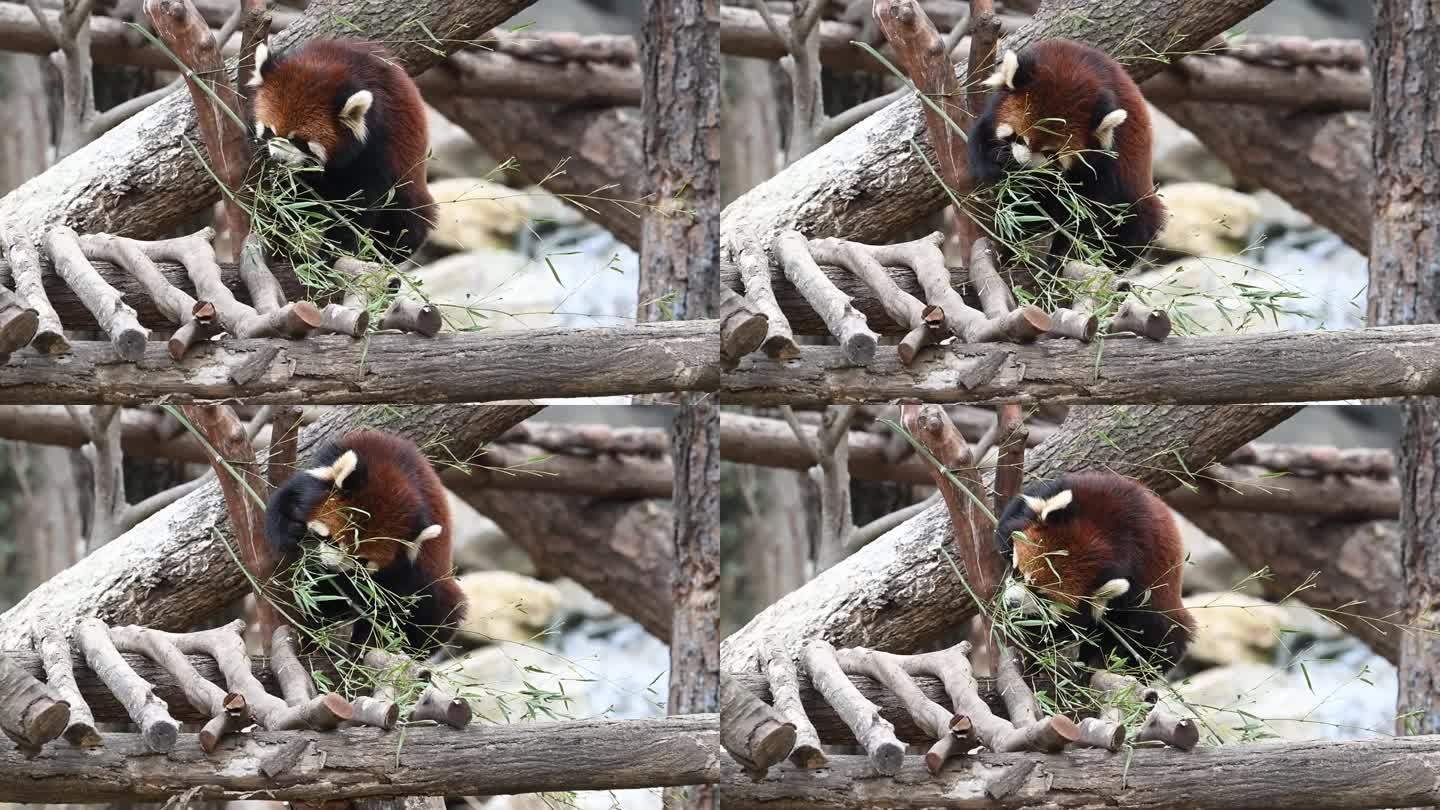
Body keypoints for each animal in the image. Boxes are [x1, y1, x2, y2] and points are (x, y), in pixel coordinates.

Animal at [250, 38, 434, 265]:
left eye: (299, 141)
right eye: (270, 131)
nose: (278, 158)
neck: (329, 64)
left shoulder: (377, 147)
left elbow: (357, 205)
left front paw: (336, 251)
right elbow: (287, 195)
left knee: (406, 218)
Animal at [269, 429, 466, 648]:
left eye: (361, 560)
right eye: (330, 539)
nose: (332, 566)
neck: (393, 472)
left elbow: (384, 605)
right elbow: (285, 499)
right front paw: (287, 531)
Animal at [961, 39, 1163, 268]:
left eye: (1050, 152)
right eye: (1019, 137)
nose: (1023, 164)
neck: (1076, 67)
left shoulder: (1104, 165)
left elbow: (1086, 214)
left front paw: (1063, 254)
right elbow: (980, 139)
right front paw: (994, 166)